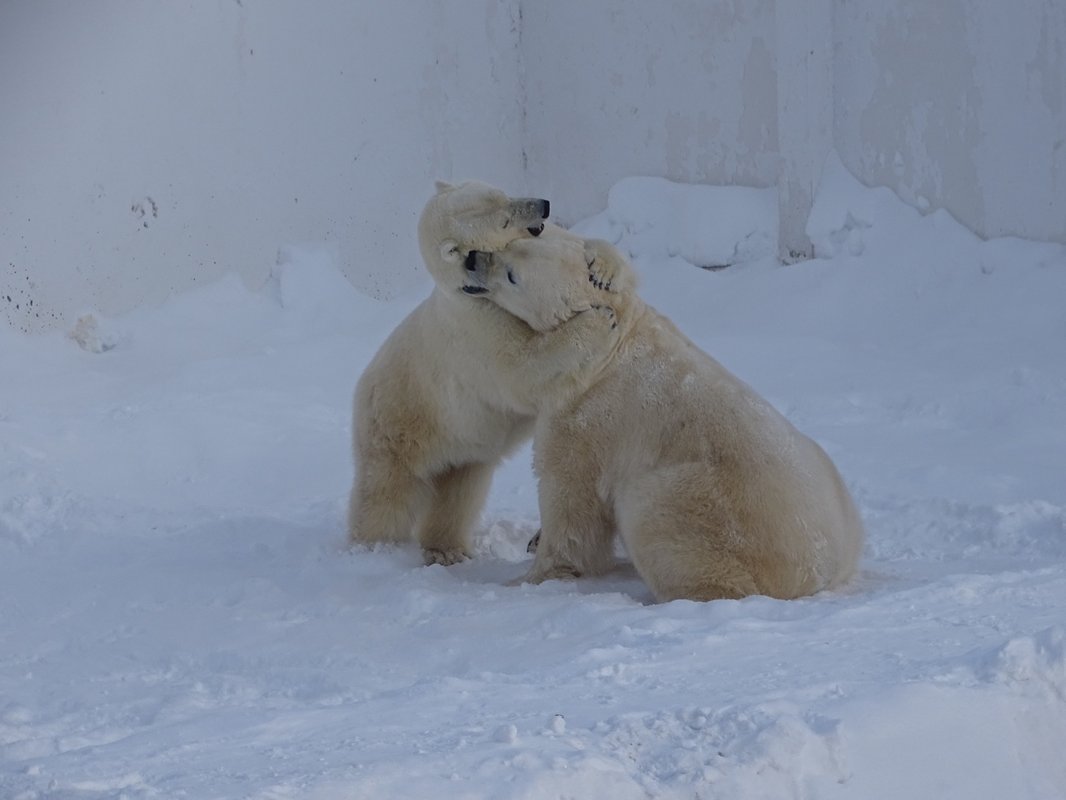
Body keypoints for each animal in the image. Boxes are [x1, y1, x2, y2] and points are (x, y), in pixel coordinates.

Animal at [349, 182, 618, 567]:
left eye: (502, 192)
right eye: (503, 221)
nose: (544, 205)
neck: (466, 289)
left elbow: (580, 246)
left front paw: (603, 265)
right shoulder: (480, 325)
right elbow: (523, 365)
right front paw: (598, 320)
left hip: (463, 445)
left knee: (460, 491)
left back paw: (447, 549)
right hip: (397, 425)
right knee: (385, 493)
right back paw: (372, 548)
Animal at [466, 237, 865, 601]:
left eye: (512, 274)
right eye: (510, 243)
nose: (472, 259)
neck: (612, 349)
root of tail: (819, 574)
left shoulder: (588, 419)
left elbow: (570, 498)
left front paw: (528, 576)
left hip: (706, 507)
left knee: (654, 514)